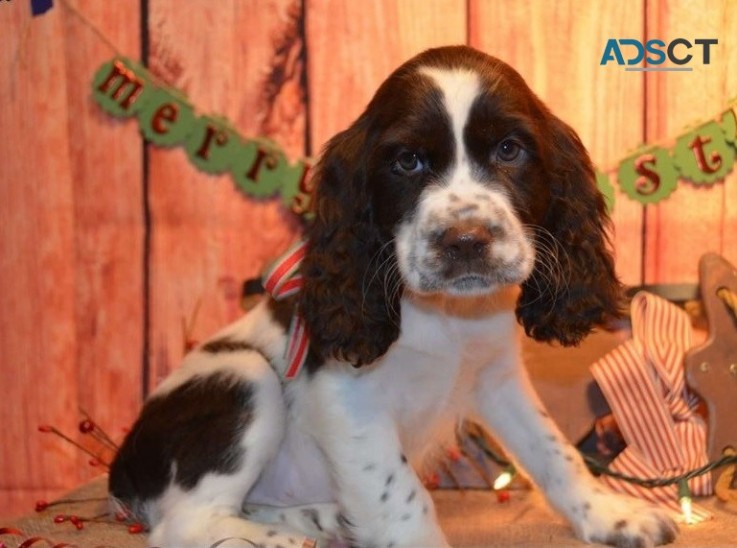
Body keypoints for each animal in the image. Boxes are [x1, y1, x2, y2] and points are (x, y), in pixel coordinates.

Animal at [109, 48, 680, 548]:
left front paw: (612, 515)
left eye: (509, 150)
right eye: (407, 161)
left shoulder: (497, 375)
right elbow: (400, 497)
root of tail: (120, 471)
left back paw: (322, 518)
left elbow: (553, 449)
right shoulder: (348, 396)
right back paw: (285, 539)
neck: (446, 313)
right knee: (184, 524)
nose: (466, 241)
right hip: (244, 376)